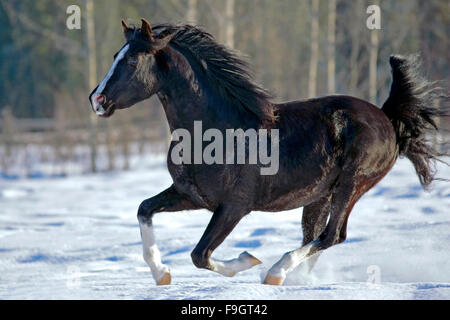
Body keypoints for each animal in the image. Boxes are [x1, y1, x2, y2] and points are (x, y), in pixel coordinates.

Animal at [89, 19, 448, 284]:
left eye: (131, 59)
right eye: (115, 55)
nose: (97, 100)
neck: (215, 129)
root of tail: (387, 119)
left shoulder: (234, 206)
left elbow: (200, 255)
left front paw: (248, 260)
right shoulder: (190, 195)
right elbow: (144, 209)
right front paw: (161, 274)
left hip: (352, 185)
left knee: (332, 235)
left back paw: (274, 273)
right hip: (320, 196)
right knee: (316, 237)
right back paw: (293, 278)